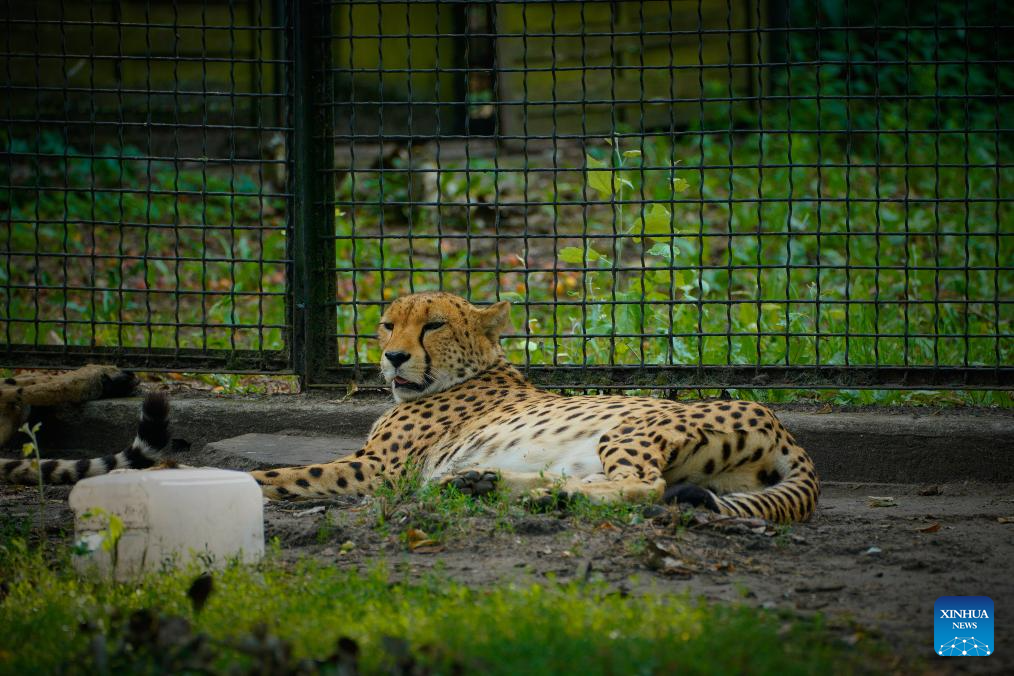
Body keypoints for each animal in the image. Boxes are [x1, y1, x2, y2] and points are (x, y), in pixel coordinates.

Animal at [253, 291, 815, 522]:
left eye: (433, 325)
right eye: (389, 325)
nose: (394, 357)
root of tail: (783, 428)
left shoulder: (379, 469)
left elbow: (281, 476)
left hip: (628, 429)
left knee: (646, 486)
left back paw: (544, 498)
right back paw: (485, 484)